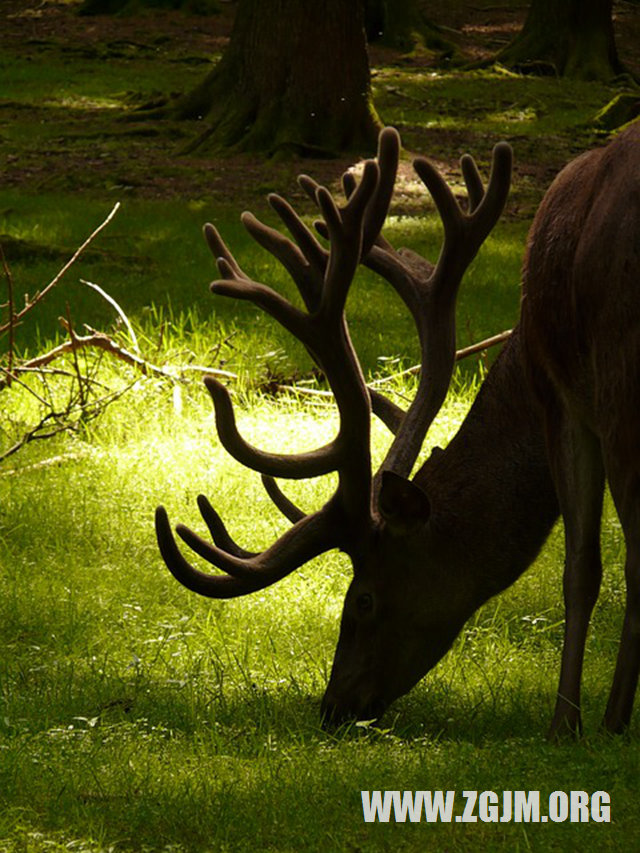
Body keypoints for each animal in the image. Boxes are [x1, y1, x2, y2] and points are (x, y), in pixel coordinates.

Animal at [155, 121, 640, 740]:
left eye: (362, 598)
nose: (332, 706)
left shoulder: (564, 398)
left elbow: (581, 566)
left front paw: (571, 723)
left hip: (619, 375)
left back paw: (611, 718)